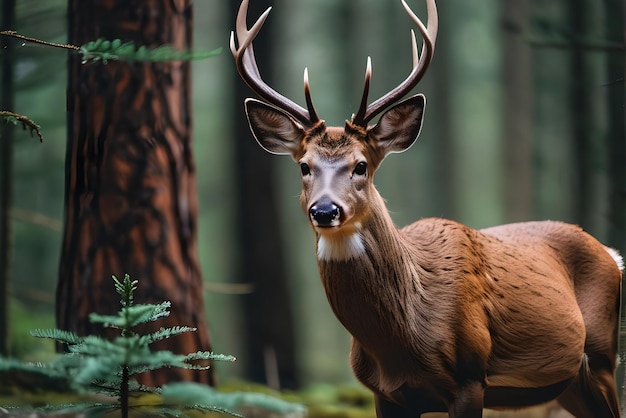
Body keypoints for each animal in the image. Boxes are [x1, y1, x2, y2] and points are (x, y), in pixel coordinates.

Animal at [230, 0, 624, 414]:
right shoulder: (384, 392)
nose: (325, 210)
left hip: (602, 358)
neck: (401, 344)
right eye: (304, 166)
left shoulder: (470, 376)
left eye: (361, 165)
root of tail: (612, 255)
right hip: (571, 384)